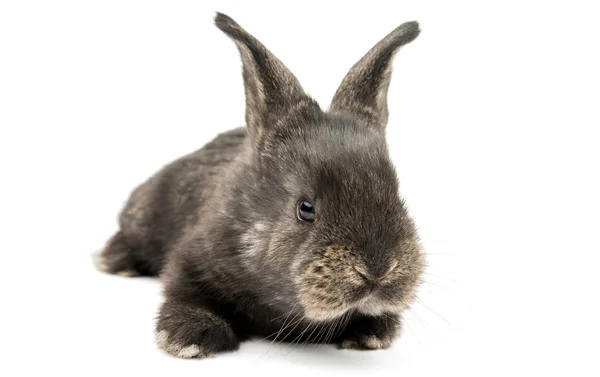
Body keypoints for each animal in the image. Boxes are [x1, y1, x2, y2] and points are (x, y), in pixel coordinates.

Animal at [91, 11, 424, 356]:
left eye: (397, 194)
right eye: (305, 208)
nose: (377, 270)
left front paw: (374, 332)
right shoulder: (189, 260)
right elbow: (185, 292)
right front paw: (190, 335)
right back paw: (117, 260)